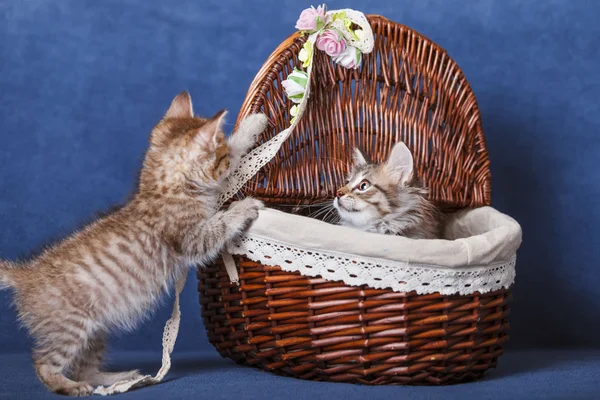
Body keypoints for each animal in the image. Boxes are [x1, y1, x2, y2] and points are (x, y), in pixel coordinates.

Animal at [0, 92, 268, 396]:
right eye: (218, 155)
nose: (221, 159)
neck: (160, 188)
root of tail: (25, 274)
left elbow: (238, 152)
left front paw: (253, 124)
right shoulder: (194, 238)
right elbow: (222, 221)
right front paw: (243, 208)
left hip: (96, 329)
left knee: (84, 368)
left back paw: (116, 378)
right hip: (71, 327)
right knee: (44, 363)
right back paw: (69, 386)